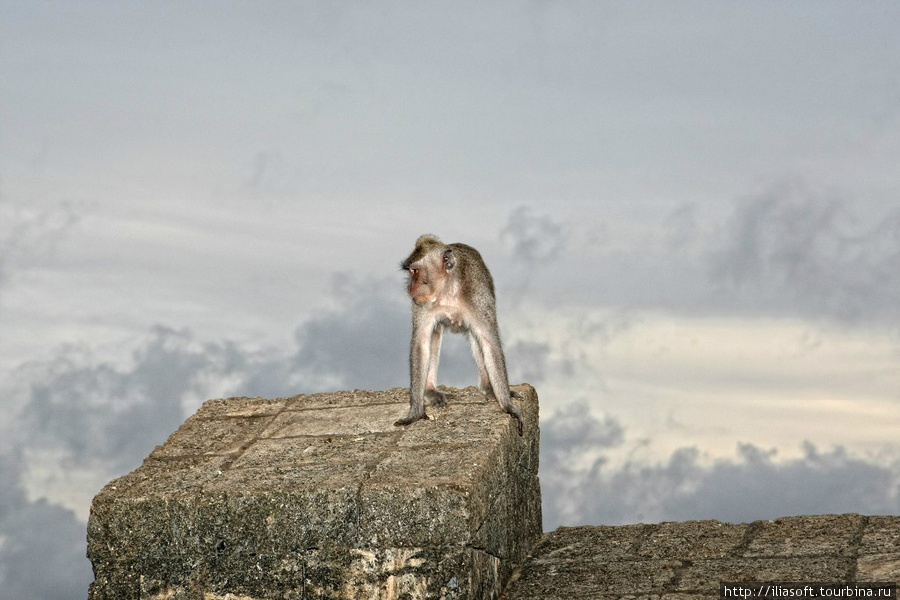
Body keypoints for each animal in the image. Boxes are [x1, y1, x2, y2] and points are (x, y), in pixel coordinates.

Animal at [396, 234, 528, 436]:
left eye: (415, 271)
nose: (410, 287)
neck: (447, 290)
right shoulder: (422, 304)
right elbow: (421, 343)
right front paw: (415, 413)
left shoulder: (478, 297)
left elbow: (489, 343)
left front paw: (507, 406)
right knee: (435, 332)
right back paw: (430, 390)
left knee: (476, 337)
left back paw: (490, 388)